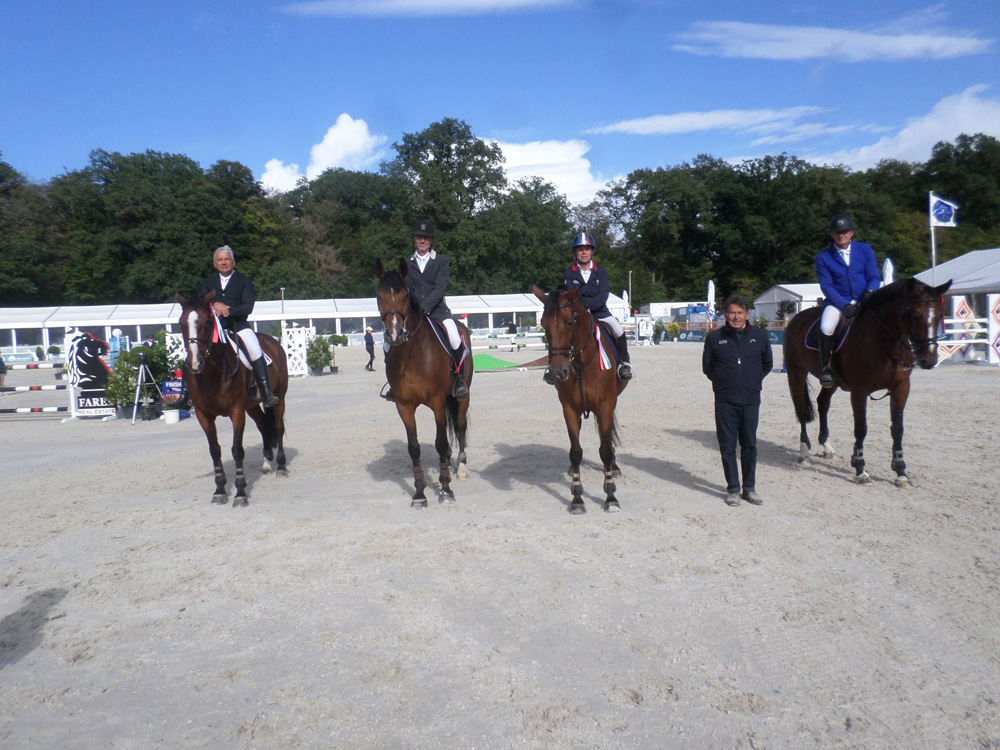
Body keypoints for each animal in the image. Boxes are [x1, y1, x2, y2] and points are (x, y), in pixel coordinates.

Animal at [175, 292, 288, 506]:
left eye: (208, 321)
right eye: (181, 323)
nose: (194, 363)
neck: (212, 375)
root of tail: (272, 341)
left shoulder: (236, 411)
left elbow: (237, 450)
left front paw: (241, 492)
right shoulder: (204, 415)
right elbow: (214, 450)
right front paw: (219, 490)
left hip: (279, 398)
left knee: (278, 427)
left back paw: (281, 467)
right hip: (251, 406)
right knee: (264, 425)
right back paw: (266, 463)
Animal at [375, 260, 473, 508]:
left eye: (405, 294)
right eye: (379, 296)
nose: (394, 334)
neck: (411, 354)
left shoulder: (437, 401)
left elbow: (440, 442)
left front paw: (446, 490)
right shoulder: (404, 406)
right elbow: (414, 447)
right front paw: (419, 492)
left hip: (462, 397)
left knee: (459, 426)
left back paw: (461, 468)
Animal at [533, 285, 628, 513]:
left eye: (569, 322)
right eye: (544, 324)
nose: (558, 372)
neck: (583, 362)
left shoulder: (605, 406)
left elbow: (605, 450)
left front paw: (610, 496)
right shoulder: (569, 409)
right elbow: (575, 452)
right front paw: (577, 498)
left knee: (608, 438)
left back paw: (614, 467)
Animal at [784, 276, 952, 488]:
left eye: (940, 316)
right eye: (915, 316)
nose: (928, 361)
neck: (885, 341)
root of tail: (797, 318)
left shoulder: (901, 388)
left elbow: (897, 429)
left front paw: (900, 472)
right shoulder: (859, 391)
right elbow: (861, 428)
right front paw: (859, 468)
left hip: (832, 382)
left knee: (823, 403)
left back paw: (826, 446)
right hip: (796, 373)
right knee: (801, 410)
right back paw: (804, 449)